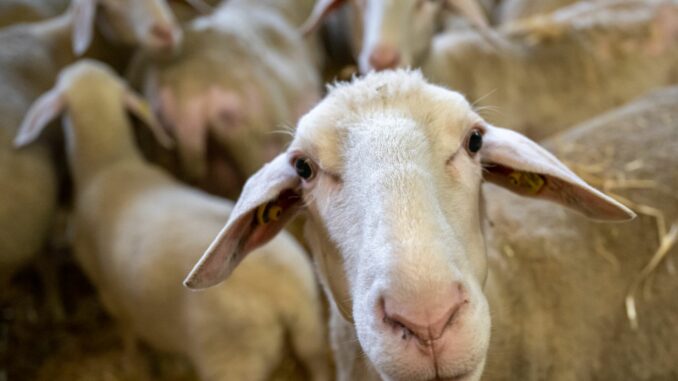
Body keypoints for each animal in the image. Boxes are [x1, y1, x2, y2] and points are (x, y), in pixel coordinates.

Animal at [14, 58, 334, 380]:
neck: (109, 164)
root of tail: (285, 293)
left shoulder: (110, 294)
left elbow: (128, 333)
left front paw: (130, 362)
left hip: (231, 360)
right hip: (311, 332)